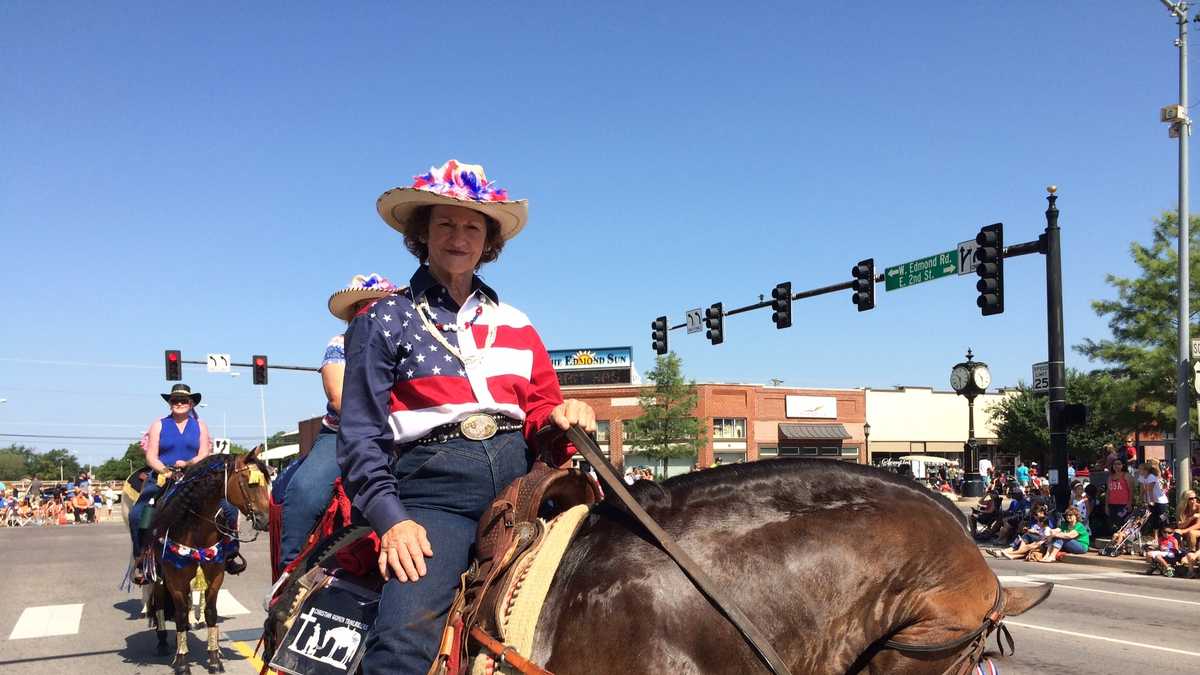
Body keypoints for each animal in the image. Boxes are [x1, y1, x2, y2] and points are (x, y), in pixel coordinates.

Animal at [139, 446, 270, 672]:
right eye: (250, 482)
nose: (266, 520)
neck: (193, 527)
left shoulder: (215, 575)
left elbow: (210, 613)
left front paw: (214, 658)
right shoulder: (175, 580)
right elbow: (180, 615)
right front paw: (182, 662)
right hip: (158, 577)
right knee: (162, 605)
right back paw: (163, 641)